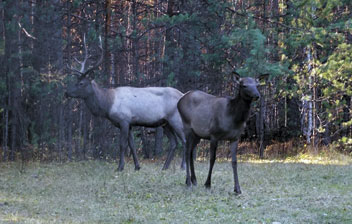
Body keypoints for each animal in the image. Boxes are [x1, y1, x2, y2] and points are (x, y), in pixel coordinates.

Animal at [66, 35, 187, 171]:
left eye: (81, 83)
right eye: (76, 81)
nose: (66, 92)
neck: (108, 105)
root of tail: (183, 95)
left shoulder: (123, 120)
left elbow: (122, 145)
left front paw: (120, 167)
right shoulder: (130, 123)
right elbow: (132, 145)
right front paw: (137, 166)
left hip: (175, 119)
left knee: (184, 140)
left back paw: (183, 166)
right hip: (165, 123)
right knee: (174, 142)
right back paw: (165, 167)